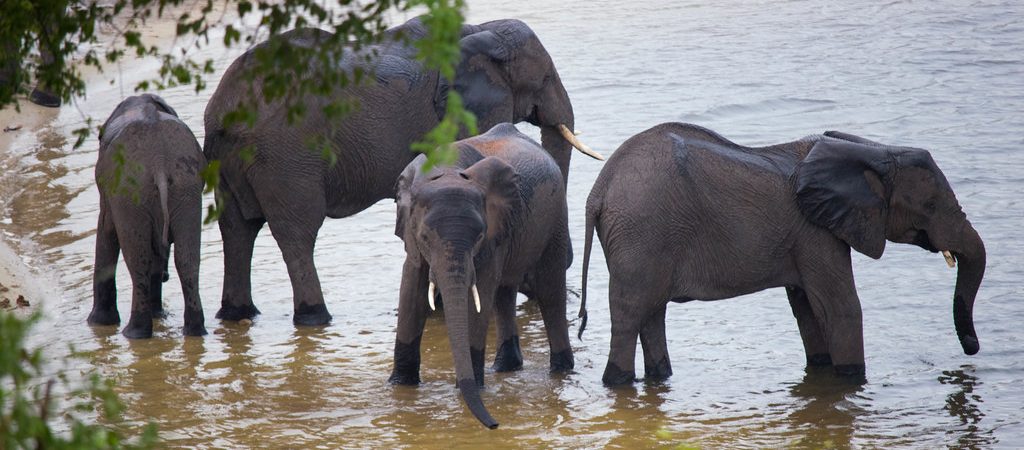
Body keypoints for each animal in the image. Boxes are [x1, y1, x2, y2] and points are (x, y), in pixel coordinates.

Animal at [87, 94, 207, 338]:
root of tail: (159, 162)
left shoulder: (109, 194)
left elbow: (105, 231)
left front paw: (98, 323)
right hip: (186, 185)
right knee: (187, 260)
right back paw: (194, 330)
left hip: (130, 193)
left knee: (138, 261)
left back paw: (134, 333)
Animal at [203, 17, 600, 327]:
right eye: (544, 78)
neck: (481, 31)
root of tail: (224, 109)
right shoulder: (456, 117)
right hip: (287, 156)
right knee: (297, 232)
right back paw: (314, 316)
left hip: (228, 158)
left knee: (237, 226)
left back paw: (237, 314)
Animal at [389, 123, 575, 429]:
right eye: (425, 237)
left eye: (478, 236)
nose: (494, 424)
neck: (448, 170)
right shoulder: (411, 237)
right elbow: (411, 286)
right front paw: (400, 386)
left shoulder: (493, 234)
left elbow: (480, 292)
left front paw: (470, 387)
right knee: (504, 293)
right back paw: (505, 367)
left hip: (556, 216)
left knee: (550, 291)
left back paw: (560, 370)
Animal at [579, 122, 985, 385]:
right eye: (930, 206)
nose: (971, 349)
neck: (871, 150)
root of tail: (599, 188)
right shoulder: (815, 232)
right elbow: (839, 307)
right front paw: (853, 379)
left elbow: (807, 307)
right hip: (642, 234)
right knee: (631, 313)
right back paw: (616, 381)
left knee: (652, 312)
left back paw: (659, 377)